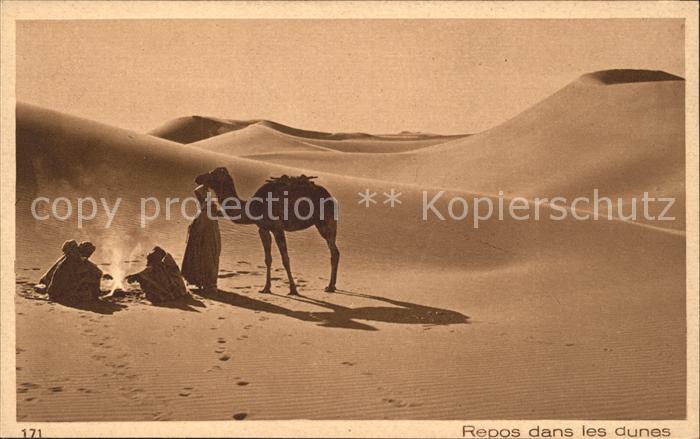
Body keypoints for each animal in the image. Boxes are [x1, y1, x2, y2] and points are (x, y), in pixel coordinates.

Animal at [195, 167, 339, 295]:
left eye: (213, 174)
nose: (198, 178)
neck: (254, 207)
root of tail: (330, 196)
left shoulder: (278, 228)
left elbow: (285, 259)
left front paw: (293, 289)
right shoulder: (263, 229)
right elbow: (267, 259)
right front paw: (266, 288)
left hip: (326, 223)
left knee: (334, 252)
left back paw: (330, 286)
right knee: (334, 251)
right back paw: (332, 286)